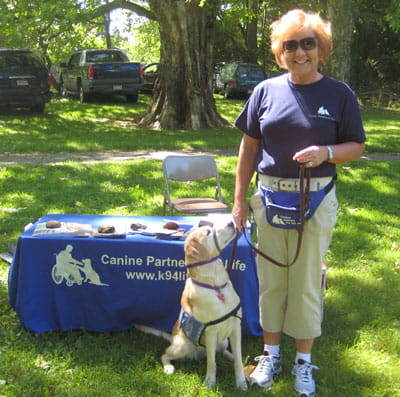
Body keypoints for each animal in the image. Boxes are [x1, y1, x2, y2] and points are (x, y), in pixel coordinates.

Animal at [136, 220, 247, 390]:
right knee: (165, 355)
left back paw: (232, 357)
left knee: (225, 353)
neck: (216, 286)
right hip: (183, 346)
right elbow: (212, 363)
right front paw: (209, 382)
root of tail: (172, 337)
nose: (231, 222)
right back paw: (168, 367)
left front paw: (241, 382)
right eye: (208, 232)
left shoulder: (235, 328)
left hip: (224, 340)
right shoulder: (211, 333)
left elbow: (239, 359)